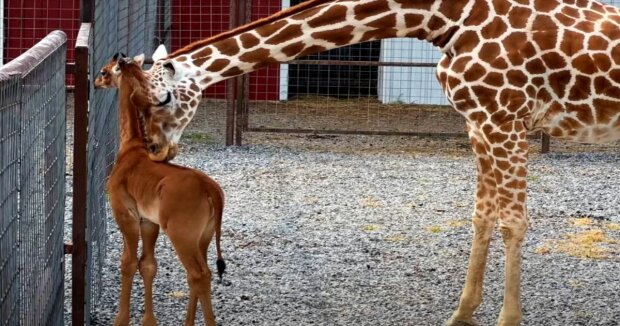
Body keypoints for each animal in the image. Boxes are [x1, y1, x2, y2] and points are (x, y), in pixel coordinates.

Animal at [134, 0, 620, 324]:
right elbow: (482, 215)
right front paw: (461, 313)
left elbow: (513, 223)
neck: (444, 16)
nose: (156, 150)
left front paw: (507, 319)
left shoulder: (505, 120)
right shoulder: (478, 123)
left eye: (163, 98)